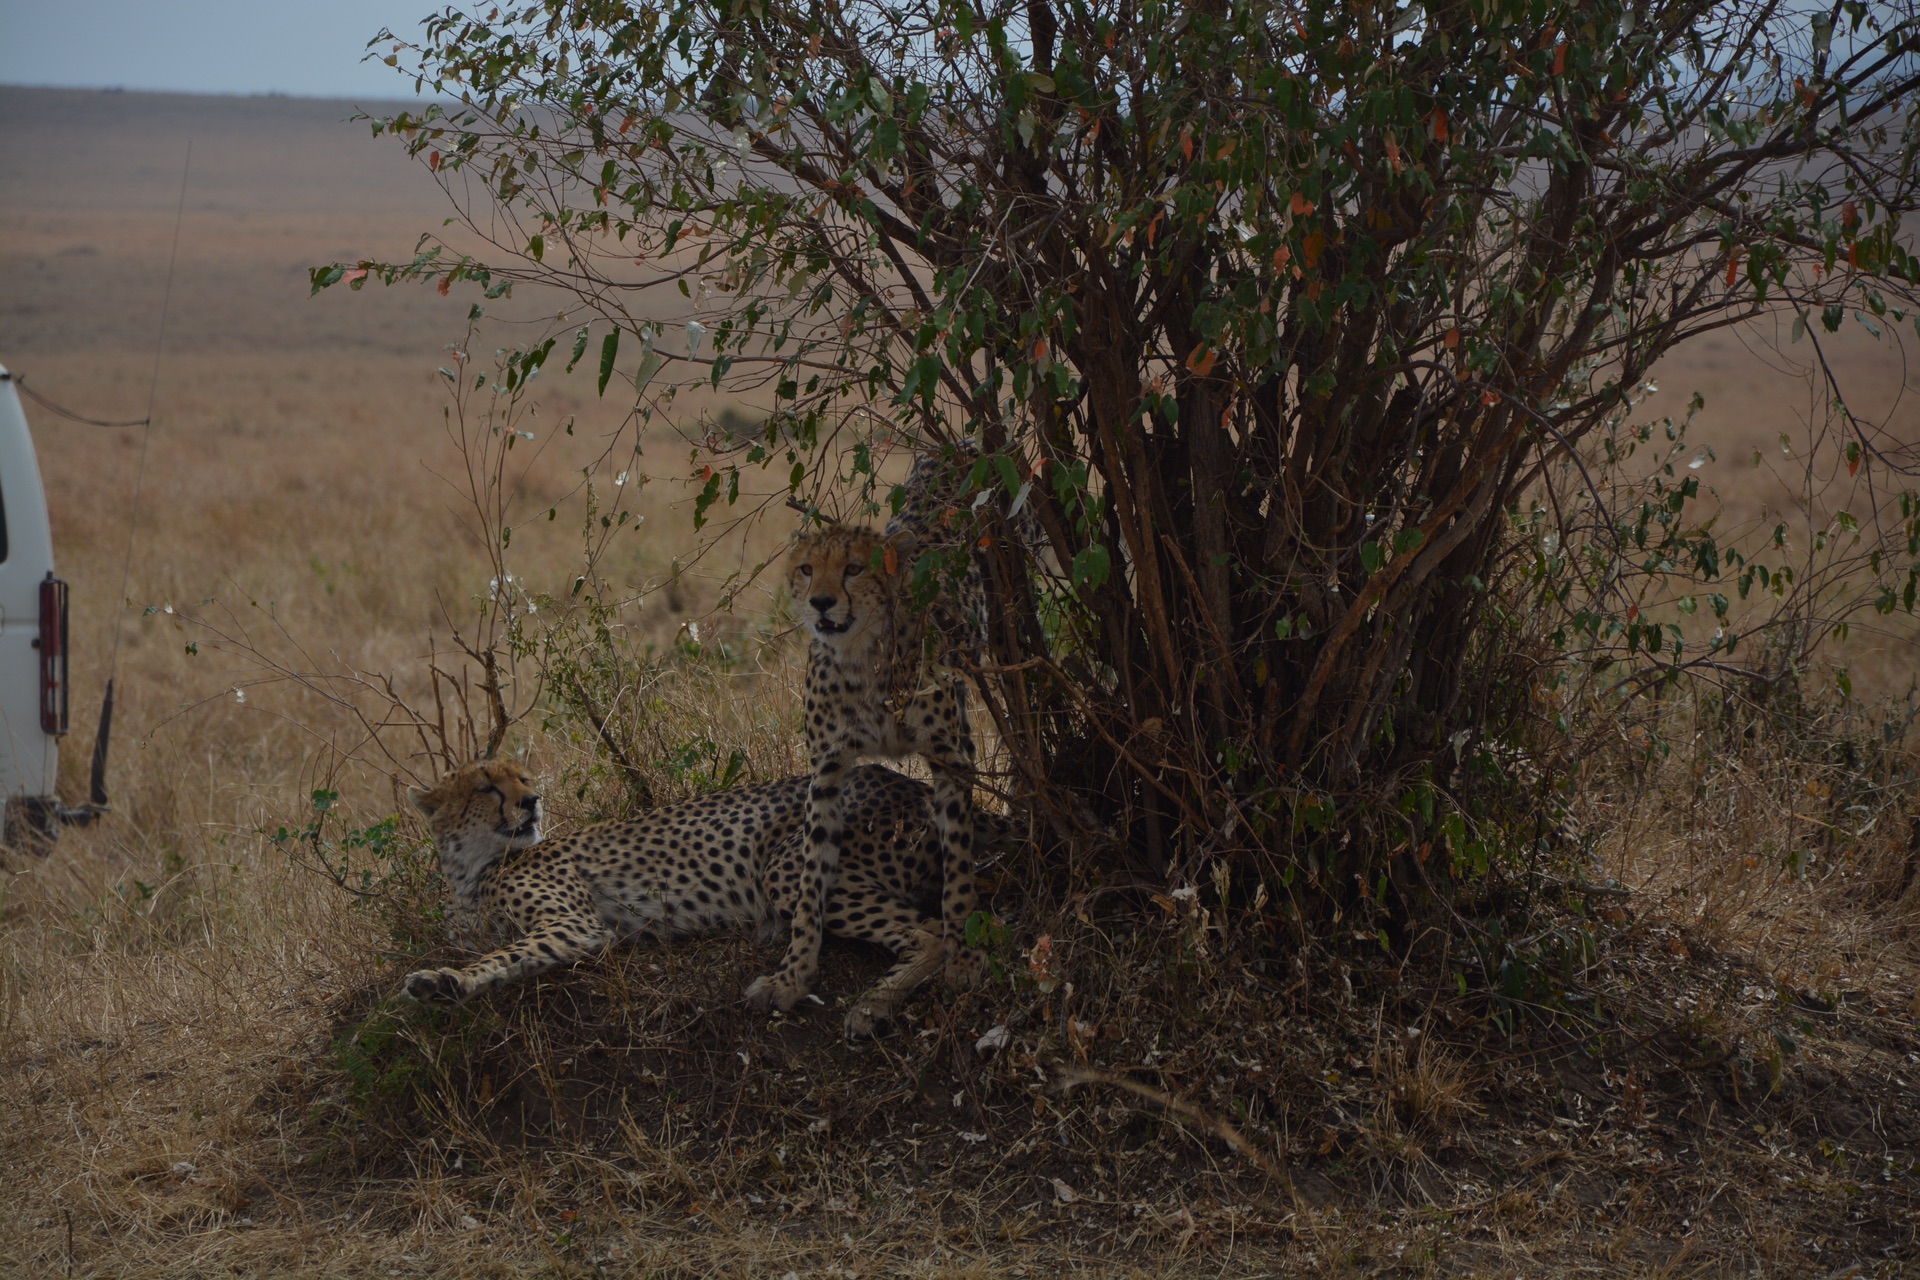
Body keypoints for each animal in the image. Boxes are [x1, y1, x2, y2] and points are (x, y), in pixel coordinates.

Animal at [391, 756, 990, 1036]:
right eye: (487, 787)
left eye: (522, 777)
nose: (533, 801)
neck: (470, 871)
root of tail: (908, 781)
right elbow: (489, 949)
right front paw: (443, 980)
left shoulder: (576, 925)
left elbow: (502, 954)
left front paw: (445, 982)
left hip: (786, 864)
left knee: (934, 934)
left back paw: (868, 1004)